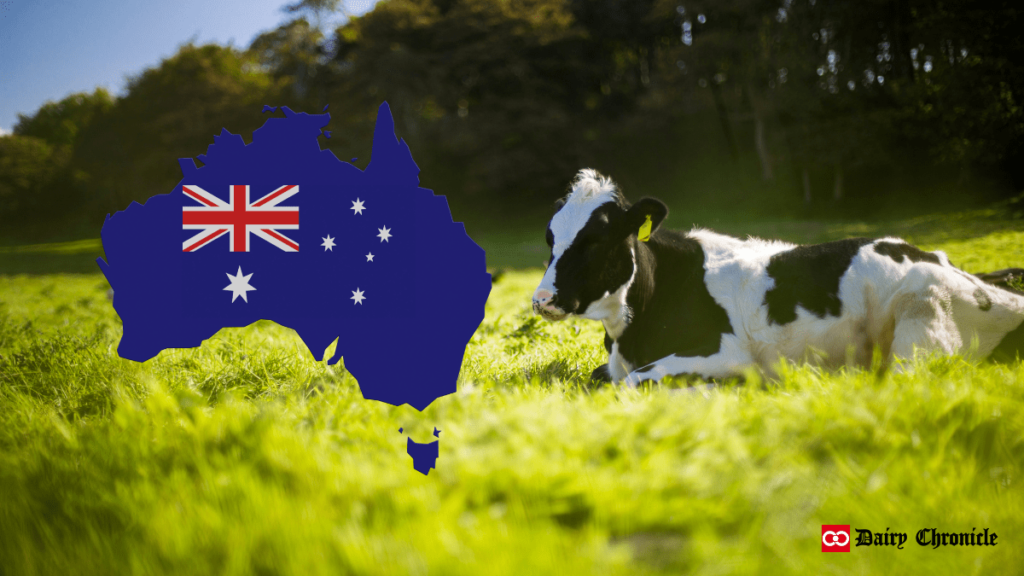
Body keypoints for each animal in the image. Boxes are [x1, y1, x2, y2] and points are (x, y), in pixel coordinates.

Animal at [532, 169, 1024, 385]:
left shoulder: (724, 350)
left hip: (921, 325)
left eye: (596, 239)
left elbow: (636, 381)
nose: (541, 299)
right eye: (550, 236)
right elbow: (602, 377)